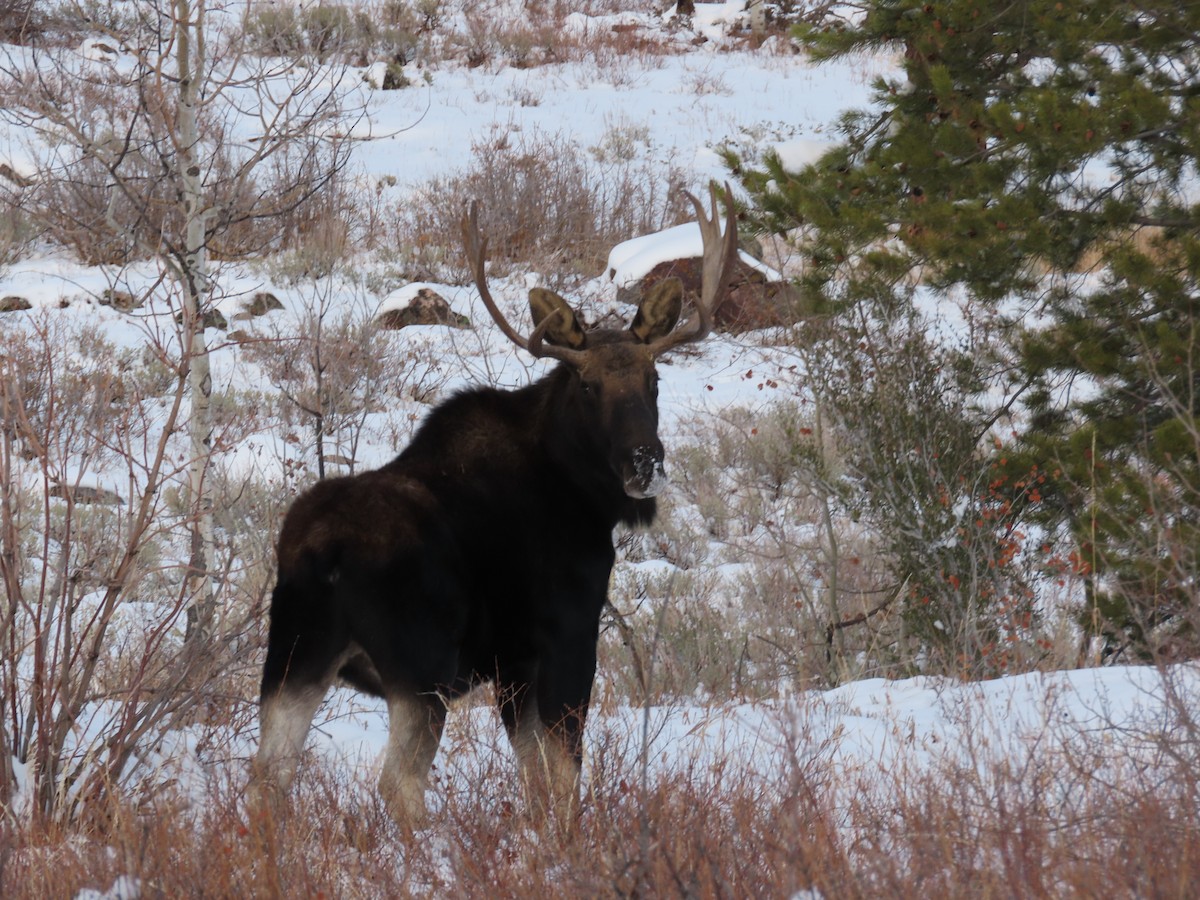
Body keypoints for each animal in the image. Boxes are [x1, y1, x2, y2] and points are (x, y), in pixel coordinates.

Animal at [248, 184, 739, 830]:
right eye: (588, 387)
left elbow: (534, 778)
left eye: (653, 379)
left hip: (295, 655)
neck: (581, 496)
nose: (644, 462)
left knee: (269, 773)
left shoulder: (511, 666)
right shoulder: (565, 636)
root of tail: (320, 552)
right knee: (397, 784)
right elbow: (565, 775)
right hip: (420, 666)